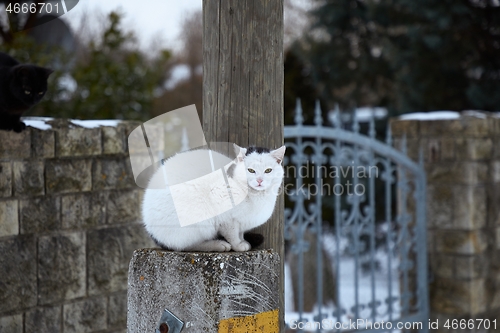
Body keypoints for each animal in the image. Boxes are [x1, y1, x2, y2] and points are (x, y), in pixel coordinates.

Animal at [141, 144, 286, 250]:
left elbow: (240, 233)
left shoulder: (240, 222)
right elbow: (232, 234)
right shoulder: (226, 217)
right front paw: (238, 245)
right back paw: (218, 245)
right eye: (250, 170)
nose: (259, 180)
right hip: (198, 221)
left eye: (268, 170)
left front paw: (243, 241)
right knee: (186, 246)